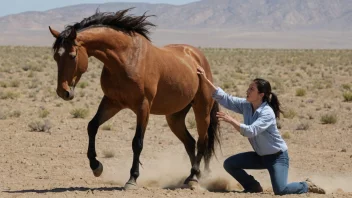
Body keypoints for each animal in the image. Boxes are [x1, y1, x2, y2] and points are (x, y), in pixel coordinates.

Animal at [48, 8, 220, 190]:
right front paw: (96, 166)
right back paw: (191, 176)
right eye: (56, 57)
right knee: (190, 142)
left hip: (202, 110)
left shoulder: (143, 107)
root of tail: (197, 57)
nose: (63, 92)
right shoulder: (112, 102)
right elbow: (92, 126)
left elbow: (137, 142)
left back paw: (194, 177)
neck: (126, 58)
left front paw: (132, 178)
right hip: (175, 117)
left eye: (72, 56)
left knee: (202, 141)